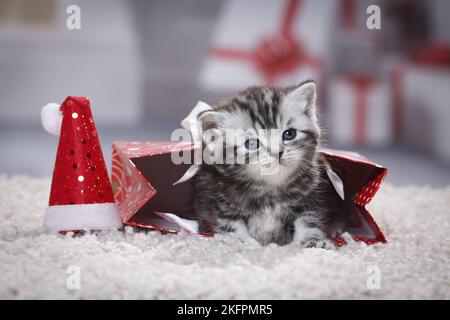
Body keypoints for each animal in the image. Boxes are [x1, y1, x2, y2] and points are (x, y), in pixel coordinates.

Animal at [193, 81, 352, 246]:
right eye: (251, 143)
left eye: (289, 134)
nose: (278, 153)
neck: (269, 190)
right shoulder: (217, 201)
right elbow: (231, 227)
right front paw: (241, 243)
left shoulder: (312, 196)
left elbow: (309, 221)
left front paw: (313, 242)